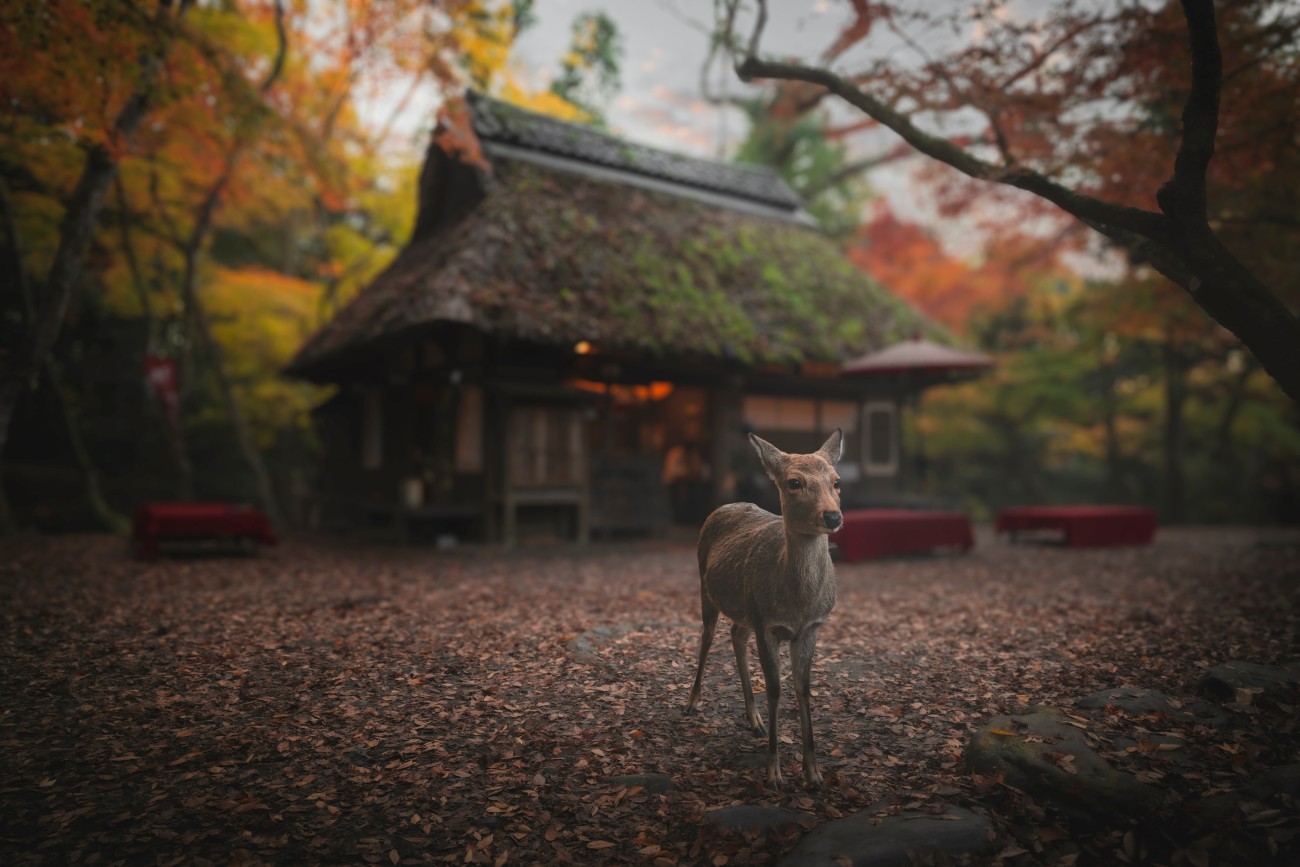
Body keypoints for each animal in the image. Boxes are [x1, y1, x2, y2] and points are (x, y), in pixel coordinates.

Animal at [684, 428, 843, 790]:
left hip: (744, 610)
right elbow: (774, 688)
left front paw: (814, 774)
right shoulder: (766, 623)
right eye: (794, 482)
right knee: (707, 637)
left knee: (735, 634)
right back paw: (692, 703)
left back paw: (753, 719)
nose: (832, 516)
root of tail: (723, 506)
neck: (798, 605)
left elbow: (803, 689)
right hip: (706, 587)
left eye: (836, 482)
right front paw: (774, 773)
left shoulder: (812, 627)